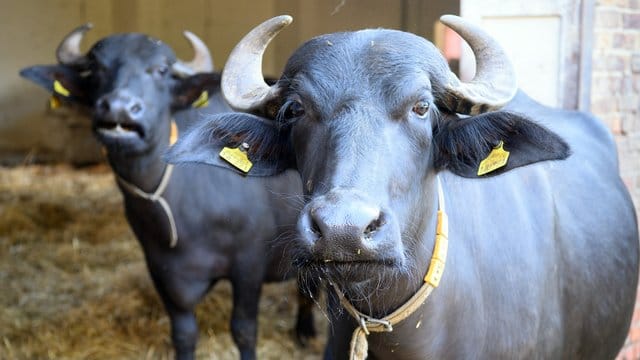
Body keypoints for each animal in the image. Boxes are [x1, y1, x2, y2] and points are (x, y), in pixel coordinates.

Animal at [21, 23, 316, 358]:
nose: (119, 108)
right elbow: (184, 335)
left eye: (160, 70)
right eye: (96, 68)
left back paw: (305, 331)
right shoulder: (164, 273)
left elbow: (243, 330)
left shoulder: (249, 265)